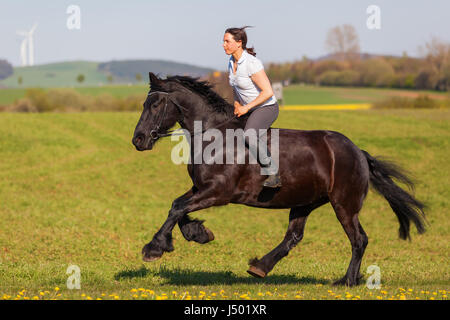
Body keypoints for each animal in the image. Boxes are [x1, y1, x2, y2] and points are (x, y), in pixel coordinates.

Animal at [132, 73, 428, 288]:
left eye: (155, 104)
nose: (138, 140)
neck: (213, 135)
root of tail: (359, 152)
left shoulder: (218, 192)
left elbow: (177, 208)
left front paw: (154, 248)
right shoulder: (201, 188)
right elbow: (177, 207)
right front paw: (199, 234)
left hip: (344, 204)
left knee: (358, 239)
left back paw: (347, 281)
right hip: (305, 201)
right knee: (294, 236)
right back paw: (260, 267)